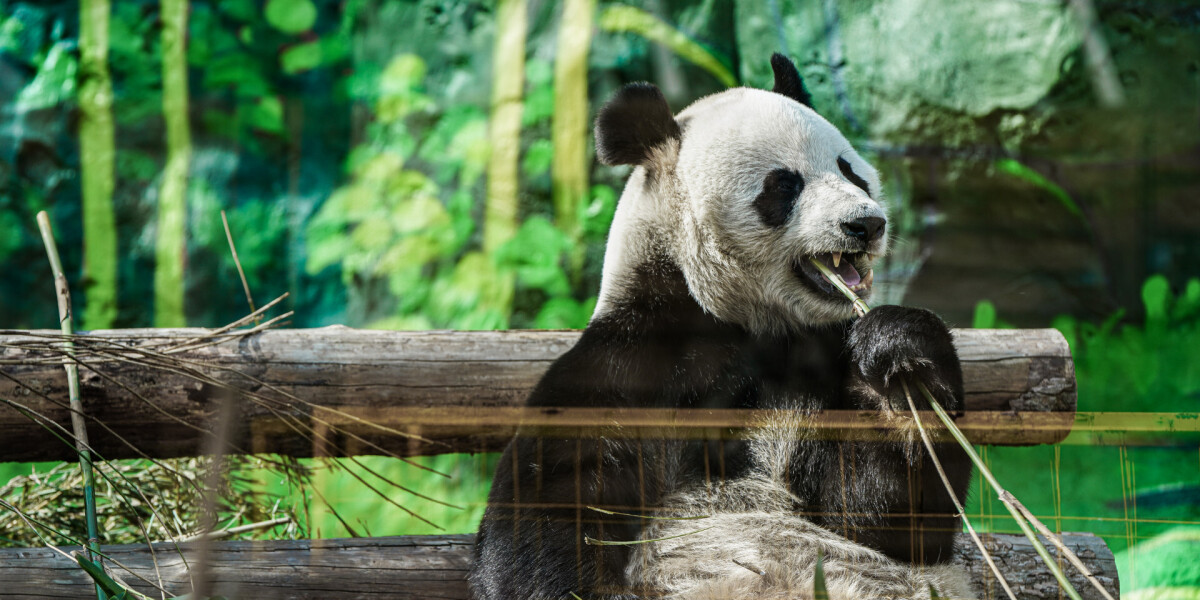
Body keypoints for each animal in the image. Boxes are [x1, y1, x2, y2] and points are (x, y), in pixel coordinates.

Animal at [468, 54, 974, 597]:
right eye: (784, 185)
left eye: (851, 172)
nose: (866, 223)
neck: (745, 321)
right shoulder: (630, 363)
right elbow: (549, 512)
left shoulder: (820, 361)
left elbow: (882, 518)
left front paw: (898, 351)